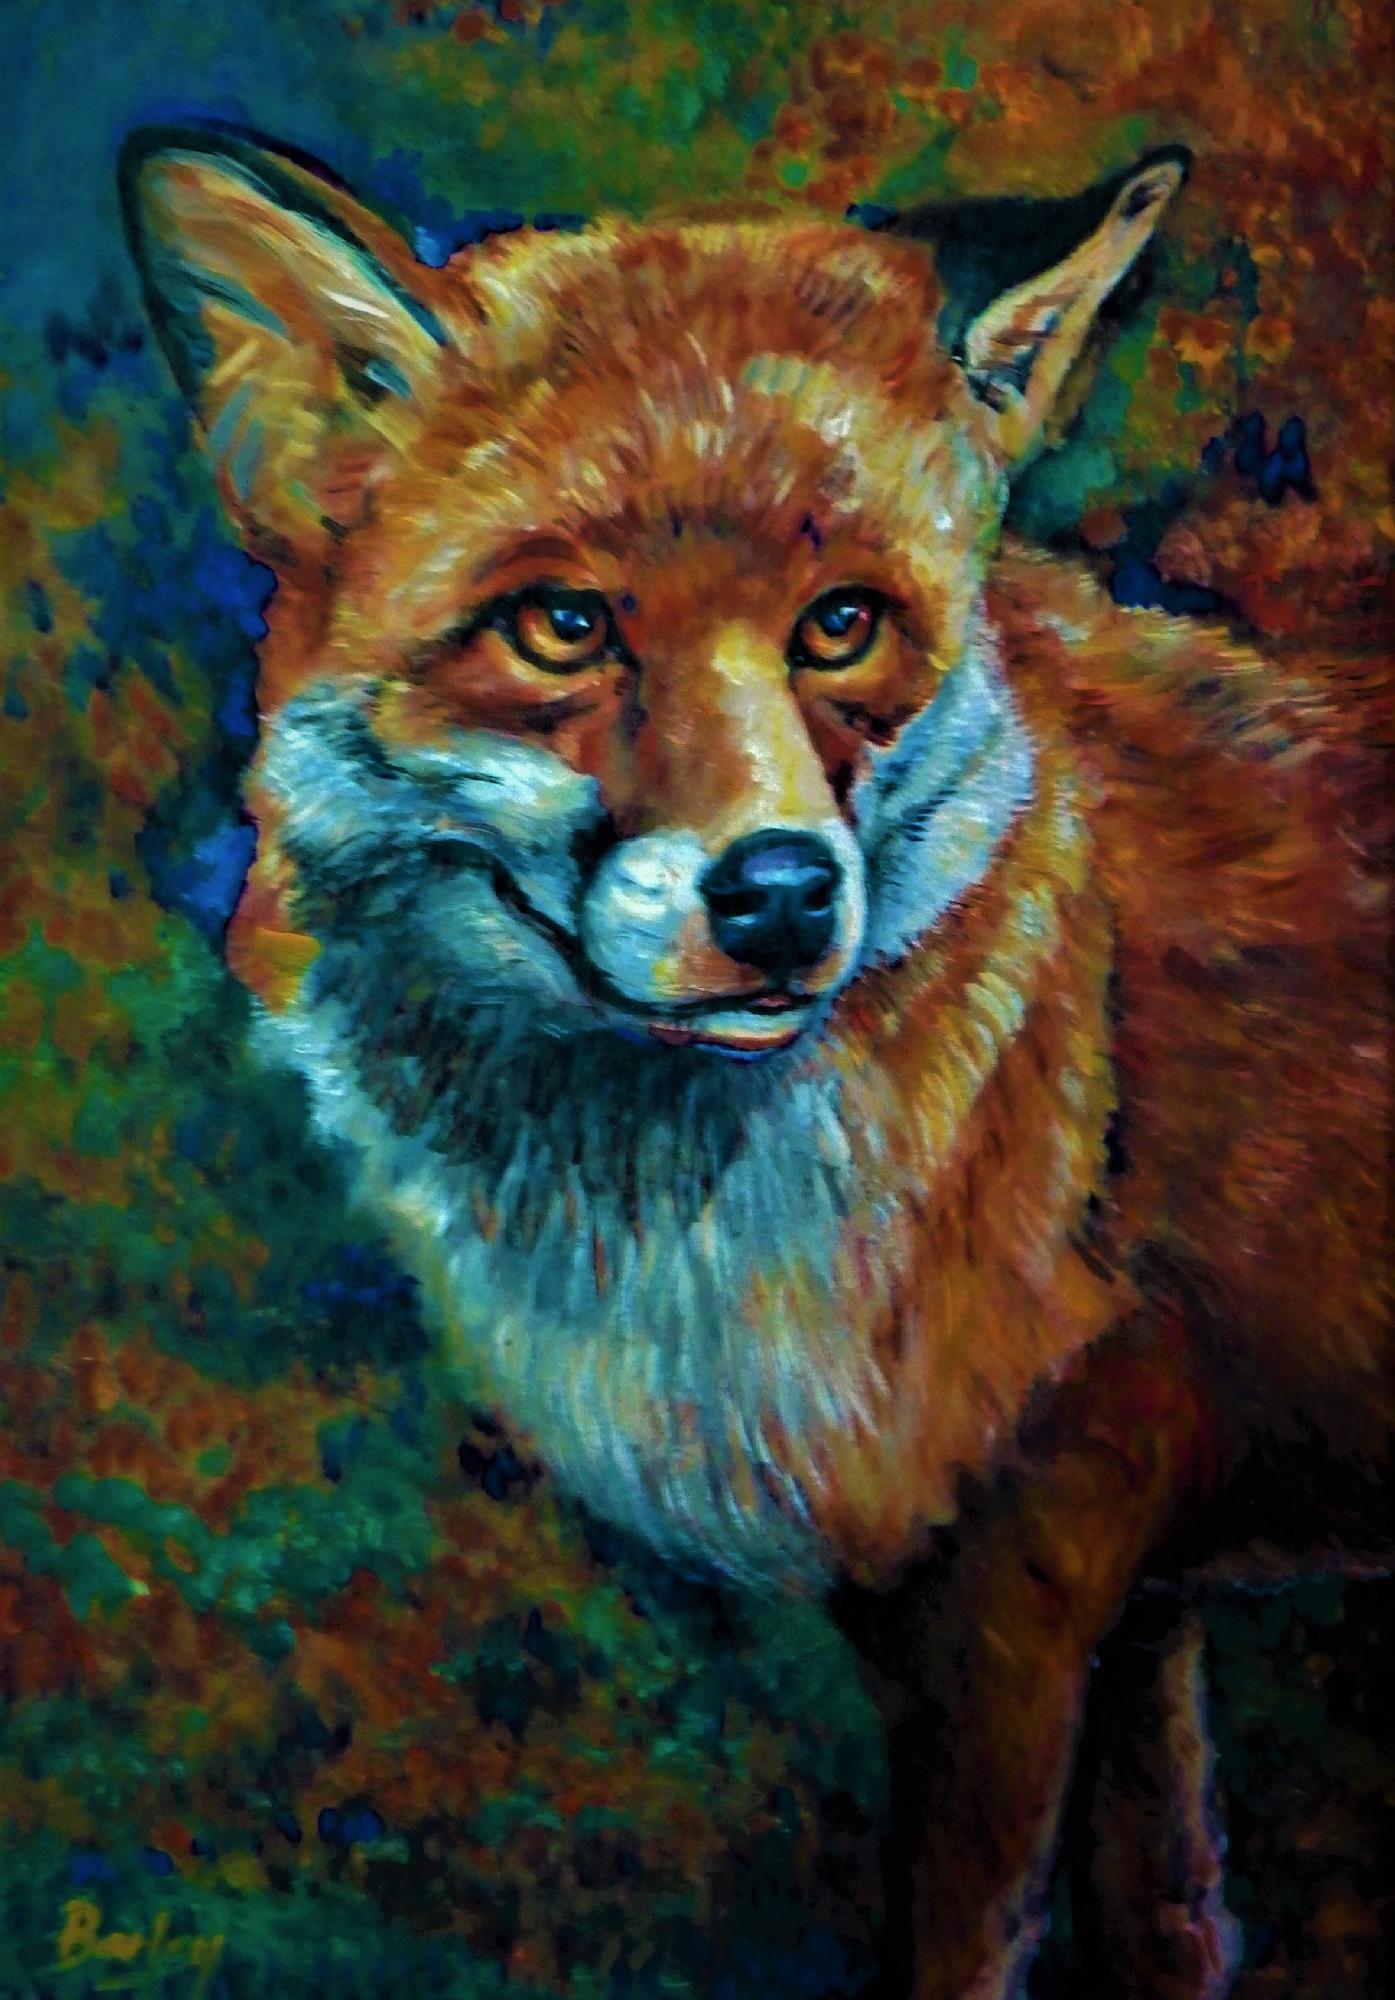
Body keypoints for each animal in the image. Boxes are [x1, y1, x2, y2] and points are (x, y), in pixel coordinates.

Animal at [119, 124, 1390, 1999]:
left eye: (842, 624)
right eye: (563, 627)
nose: (783, 895)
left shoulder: (1020, 1579)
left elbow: (969, 1944)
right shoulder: (1124, 1600)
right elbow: (1167, 1919)